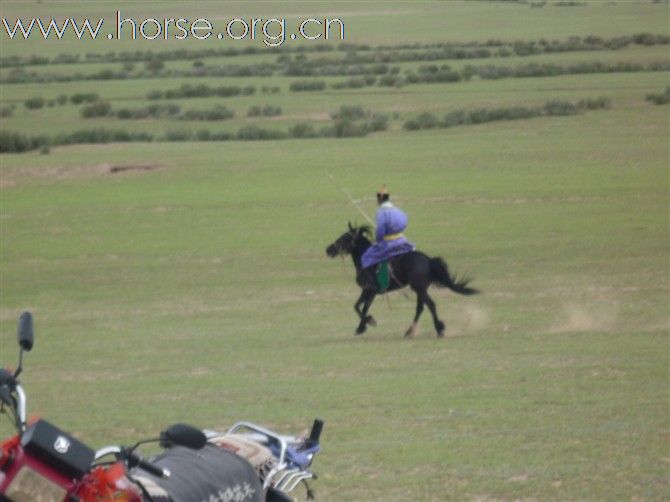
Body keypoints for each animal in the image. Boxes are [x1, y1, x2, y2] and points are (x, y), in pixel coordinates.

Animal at [326, 224, 480, 338]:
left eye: (345, 238)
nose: (329, 249)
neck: (367, 261)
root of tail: (428, 260)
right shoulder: (370, 292)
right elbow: (360, 307)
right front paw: (362, 327)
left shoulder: (369, 290)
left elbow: (360, 308)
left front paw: (367, 323)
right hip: (420, 289)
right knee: (420, 308)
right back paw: (409, 331)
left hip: (419, 288)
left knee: (430, 305)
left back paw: (439, 329)